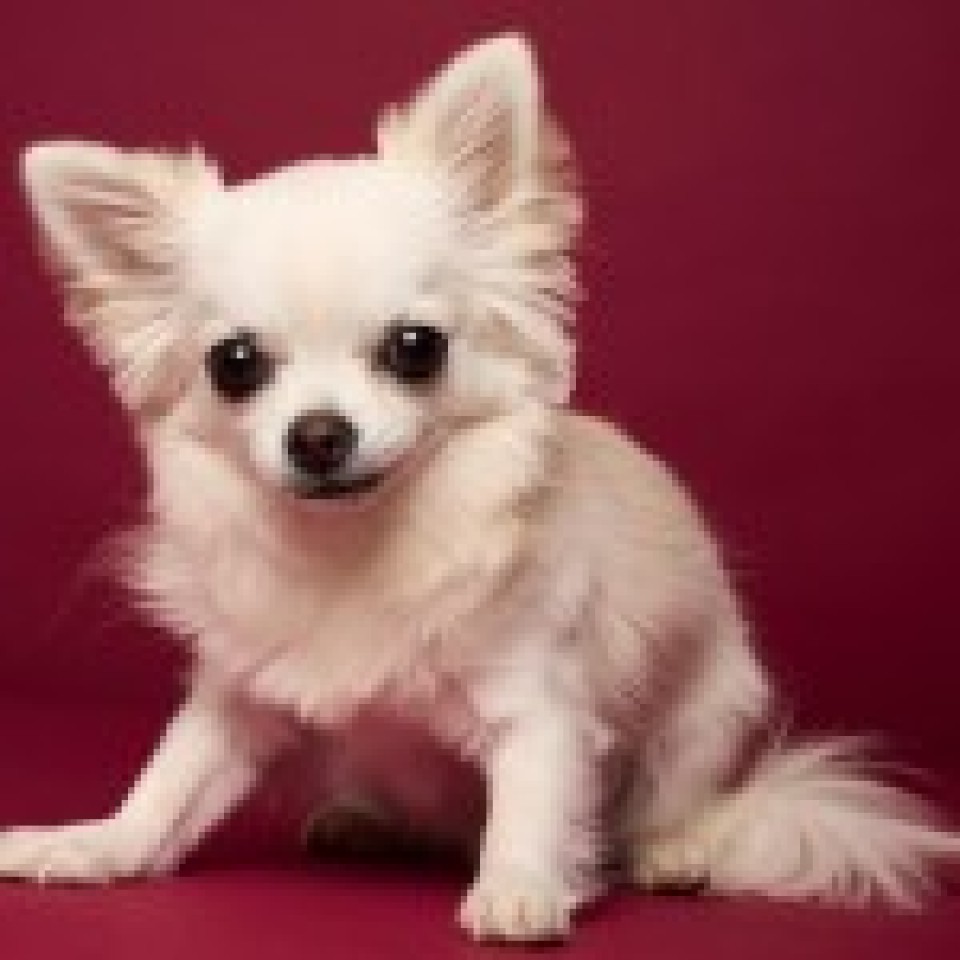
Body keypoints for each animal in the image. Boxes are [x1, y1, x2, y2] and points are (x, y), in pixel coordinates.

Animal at [4, 34, 957, 942]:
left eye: (415, 348)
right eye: (235, 364)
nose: (318, 435)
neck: (358, 543)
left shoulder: (538, 707)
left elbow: (531, 806)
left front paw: (520, 888)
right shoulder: (237, 699)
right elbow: (169, 783)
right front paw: (98, 844)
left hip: (709, 715)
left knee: (680, 801)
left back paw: (675, 849)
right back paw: (365, 823)